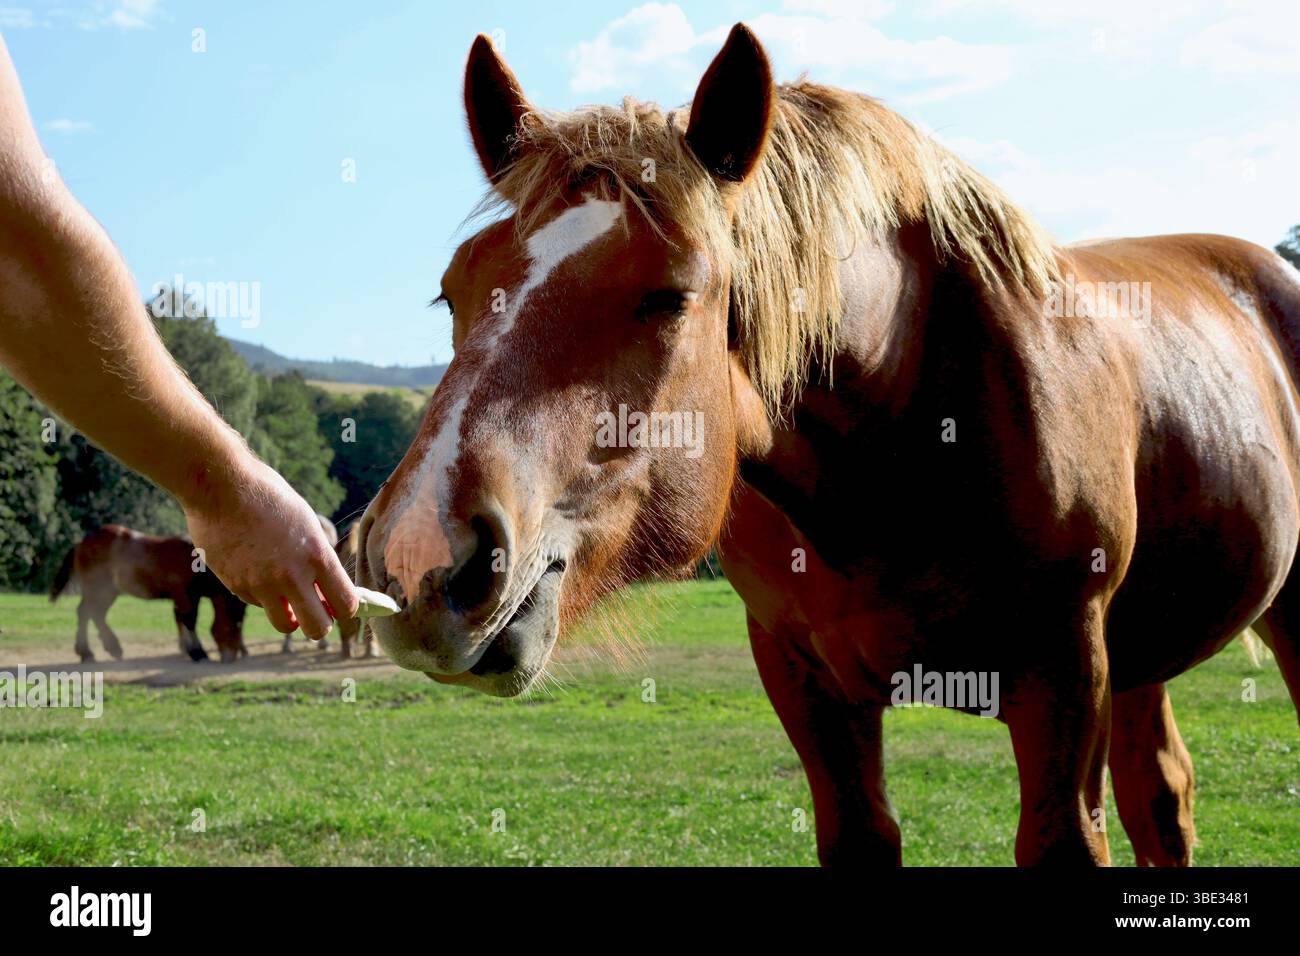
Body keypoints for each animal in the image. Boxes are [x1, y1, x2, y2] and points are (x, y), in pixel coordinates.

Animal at [50, 524, 248, 663]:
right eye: (233, 625)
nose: (231, 656)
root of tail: (81, 543)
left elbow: (182, 620)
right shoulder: (185, 595)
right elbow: (189, 620)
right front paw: (197, 653)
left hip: (108, 591)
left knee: (94, 614)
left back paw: (109, 648)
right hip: (98, 589)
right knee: (86, 613)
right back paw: (88, 653)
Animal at [353, 25, 1300, 866]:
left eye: (671, 295)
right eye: (452, 292)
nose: (419, 554)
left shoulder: (1064, 677)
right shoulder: (804, 680)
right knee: (1162, 802)